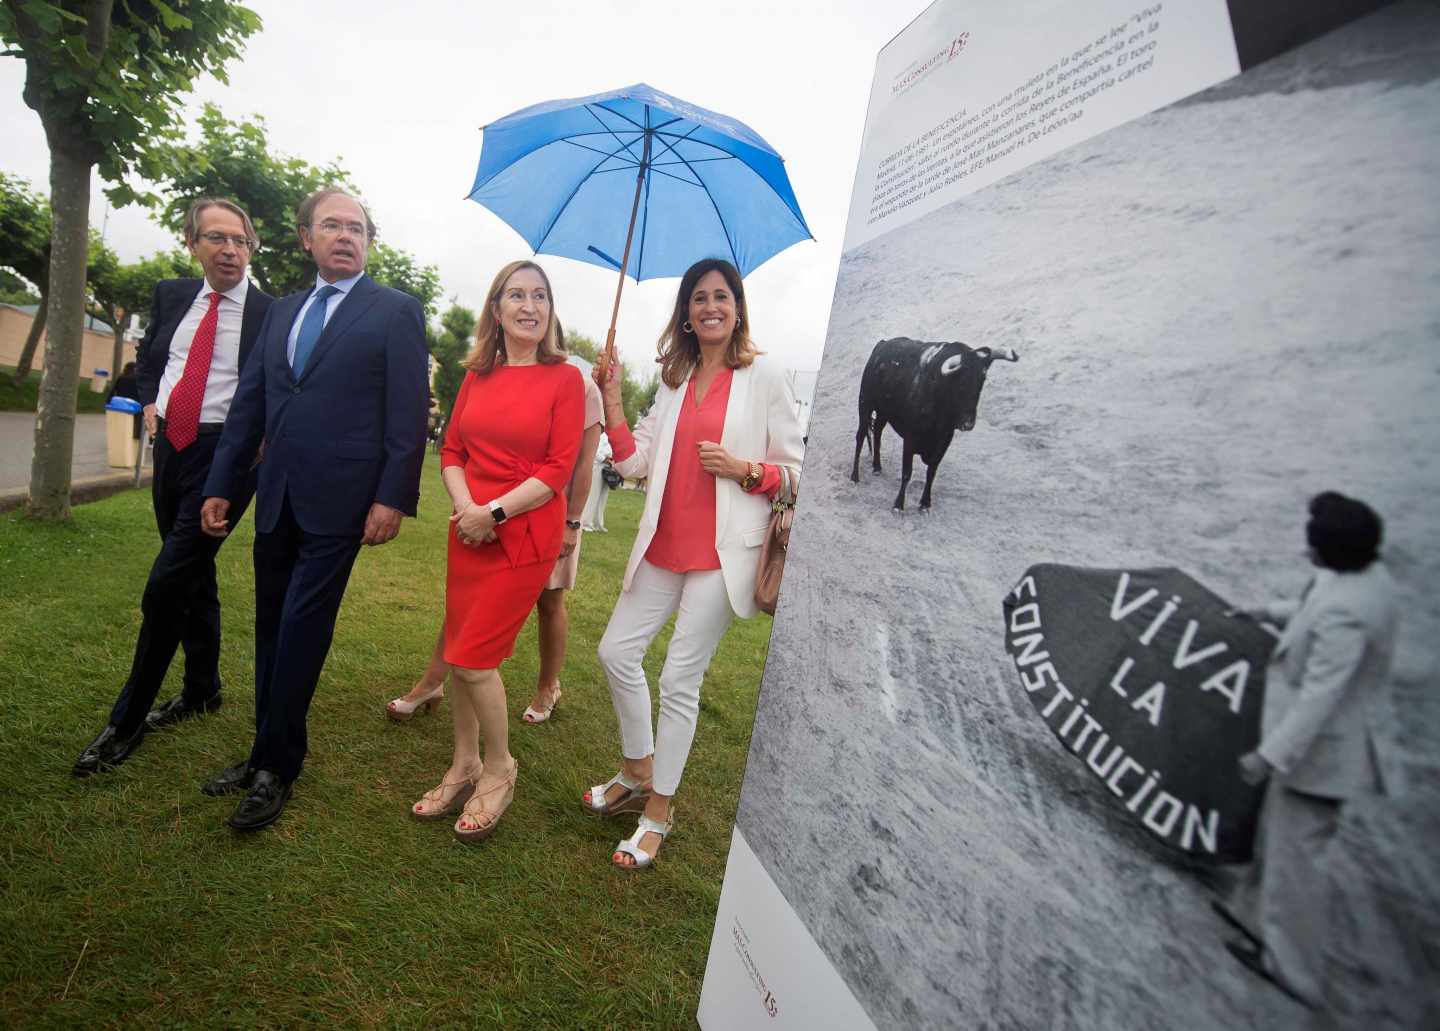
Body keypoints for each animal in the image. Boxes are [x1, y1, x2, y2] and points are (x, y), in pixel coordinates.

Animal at [846, 338, 1019, 512]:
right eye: (961, 383)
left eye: (981, 381)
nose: (968, 423)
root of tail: (882, 344)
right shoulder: (910, 440)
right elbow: (907, 473)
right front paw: (898, 505)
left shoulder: (944, 442)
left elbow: (932, 472)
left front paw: (925, 504)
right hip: (865, 404)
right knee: (860, 436)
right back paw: (855, 476)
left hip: (883, 412)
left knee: (877, 433)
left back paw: (877, 467)